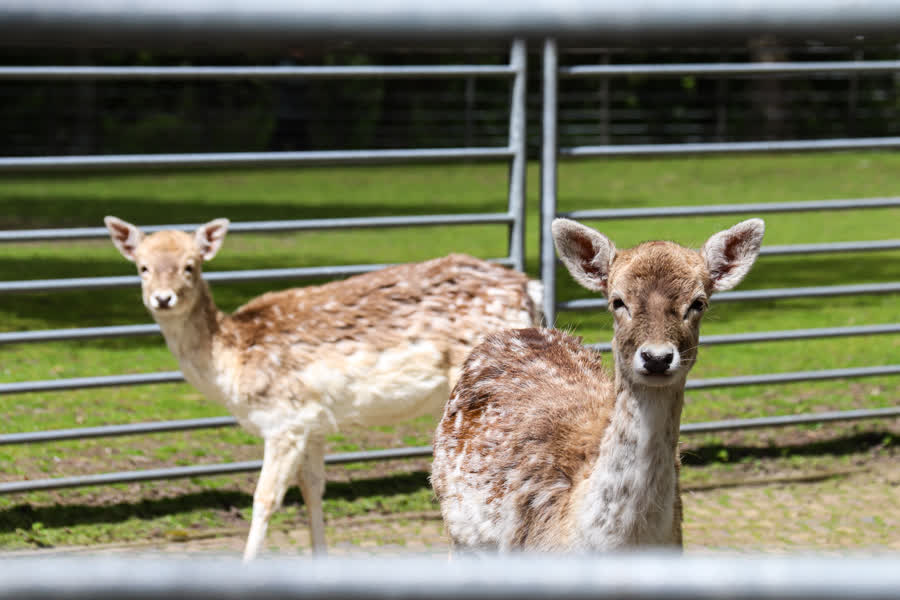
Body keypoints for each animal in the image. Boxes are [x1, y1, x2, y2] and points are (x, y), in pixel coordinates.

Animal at [104, 216, 543, 561]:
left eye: (190, 266)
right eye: (142, 267)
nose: (163, 298)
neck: (232, 362)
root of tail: (531, 289)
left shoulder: (283, 419)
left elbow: (264, 499)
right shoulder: (312, 420)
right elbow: (312, 489)